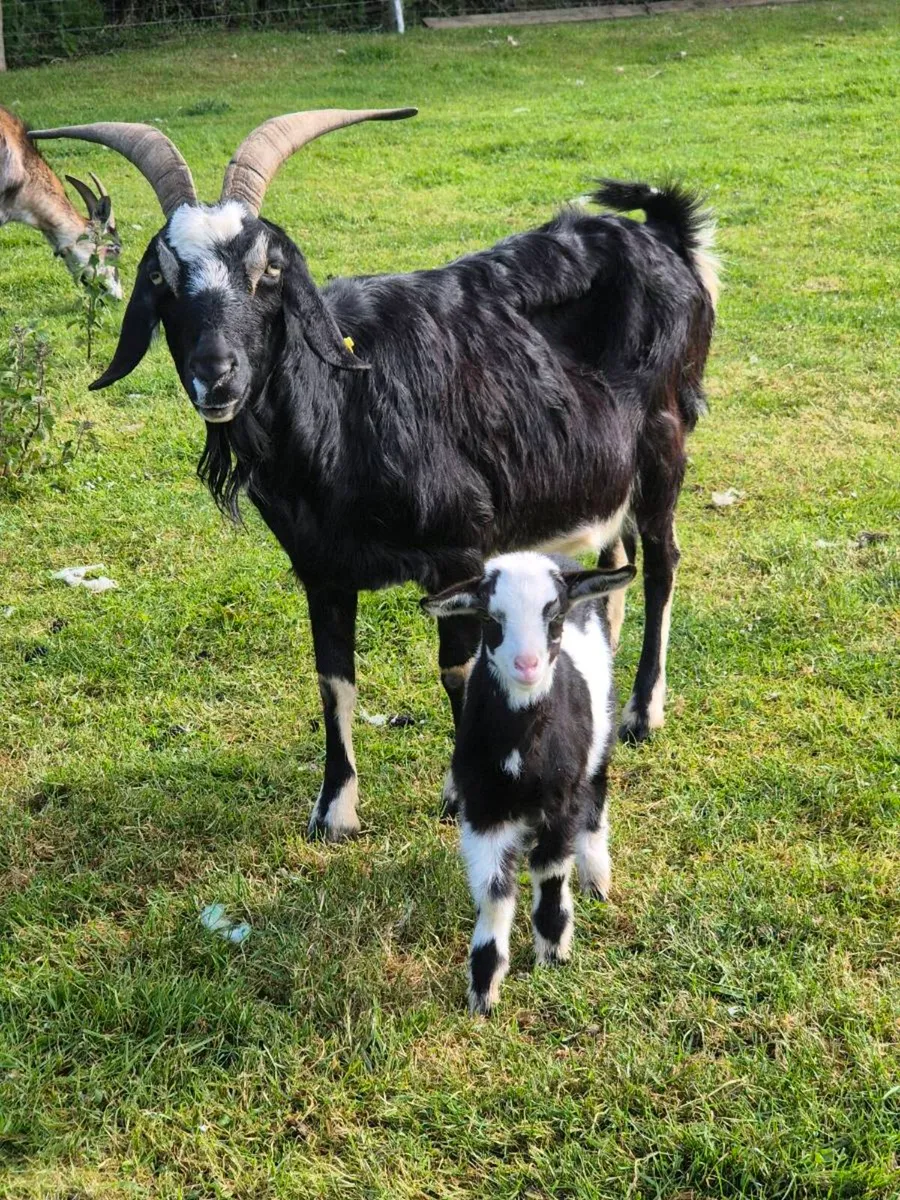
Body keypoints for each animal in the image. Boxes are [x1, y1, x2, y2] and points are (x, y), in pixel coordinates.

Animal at [29, 109, 717, 843]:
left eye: (270, 269)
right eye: (161, 275)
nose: (217, 375)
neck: (343, 409)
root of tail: (662, 236)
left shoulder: (458, 548)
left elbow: (457, 668)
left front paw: (461, 791)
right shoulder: (320, 569)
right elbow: (334, 679)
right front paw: (335, 810)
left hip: (663, 440)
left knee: (663, 561)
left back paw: (643, 712)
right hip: (602, 473)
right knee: (614, 562)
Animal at [423, 552, 634, 1014]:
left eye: (553, 615)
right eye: (490, 618)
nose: (527, 665)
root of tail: (561, 558)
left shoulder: (561, 803)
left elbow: (550, 872)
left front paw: (553, 954)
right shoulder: (483, 810)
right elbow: (494, 892)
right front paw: (483, 992)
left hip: (601, 737)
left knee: (596, 802)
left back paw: (597, 880)